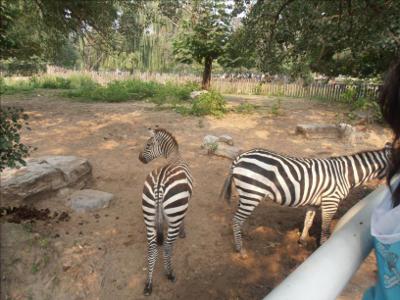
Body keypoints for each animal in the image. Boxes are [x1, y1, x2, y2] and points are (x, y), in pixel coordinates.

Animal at [138, 126, 193, 296]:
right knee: (168, 246)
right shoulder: (185, 204)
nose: (139, 159)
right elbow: (184, 218)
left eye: (148, 145)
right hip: (174, 213)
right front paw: (183, 232)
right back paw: (169, 273)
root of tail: (160, 181)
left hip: (148, 212)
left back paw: (148, 284)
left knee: (152, 247)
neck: (174, 156)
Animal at [220, 143, 392, 255]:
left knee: (238, 219)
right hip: (252, 193)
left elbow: (308, 222)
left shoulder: (314, 203)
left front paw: (302, 241)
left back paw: (242, 236)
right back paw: (240, 249)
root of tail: (240, 157)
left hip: (247, 194)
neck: (346, 174)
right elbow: (325, 227)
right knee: (236, 220)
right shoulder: (331, 201)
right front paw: (322, 246)